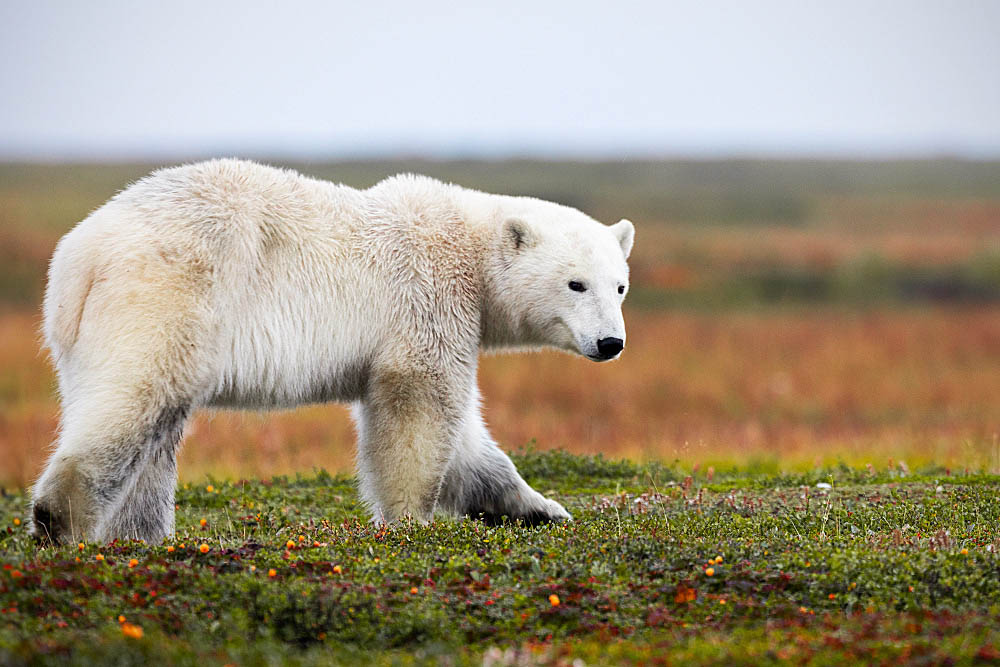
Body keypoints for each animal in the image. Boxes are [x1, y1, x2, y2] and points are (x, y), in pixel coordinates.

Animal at [31, 159, 632, 544]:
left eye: (620, 286)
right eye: (576, 284)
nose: (611, 343)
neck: (467, 246)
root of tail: (80, 256)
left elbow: (468, 442)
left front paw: (541, 509)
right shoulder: (427, 298)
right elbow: (419, 407)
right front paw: (411, 521)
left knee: (154, 429)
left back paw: (141, 537)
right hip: (172, 294)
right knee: (137, 403)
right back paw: (61, 522)